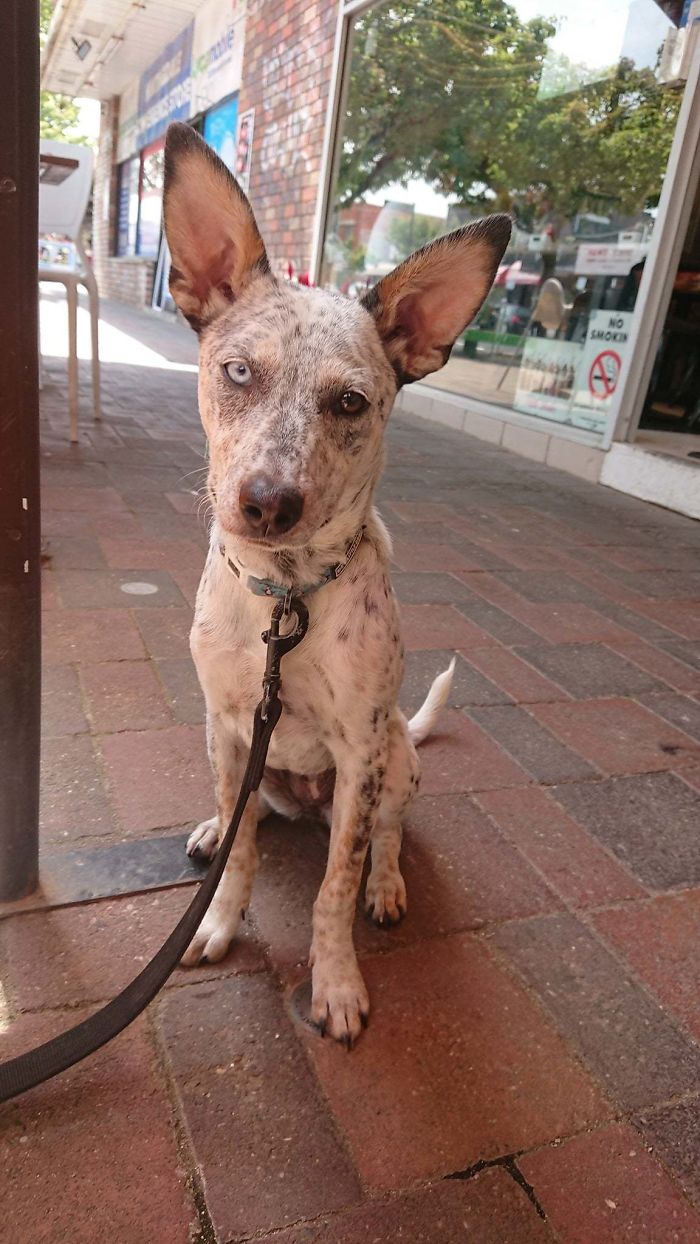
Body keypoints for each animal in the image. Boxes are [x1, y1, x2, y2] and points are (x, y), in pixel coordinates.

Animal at [162, 122, 511, 1045]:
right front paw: (218, 920)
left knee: (385, 834)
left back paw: (388, 885)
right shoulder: (225, 725)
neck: (286, 601)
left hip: (396, 755)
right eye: (237, 372)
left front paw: (339, 985)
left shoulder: (359, 752)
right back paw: (212, 827)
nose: (266, 503)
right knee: (247, 816)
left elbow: (334, 888)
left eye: (351, 402)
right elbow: (244, 853)